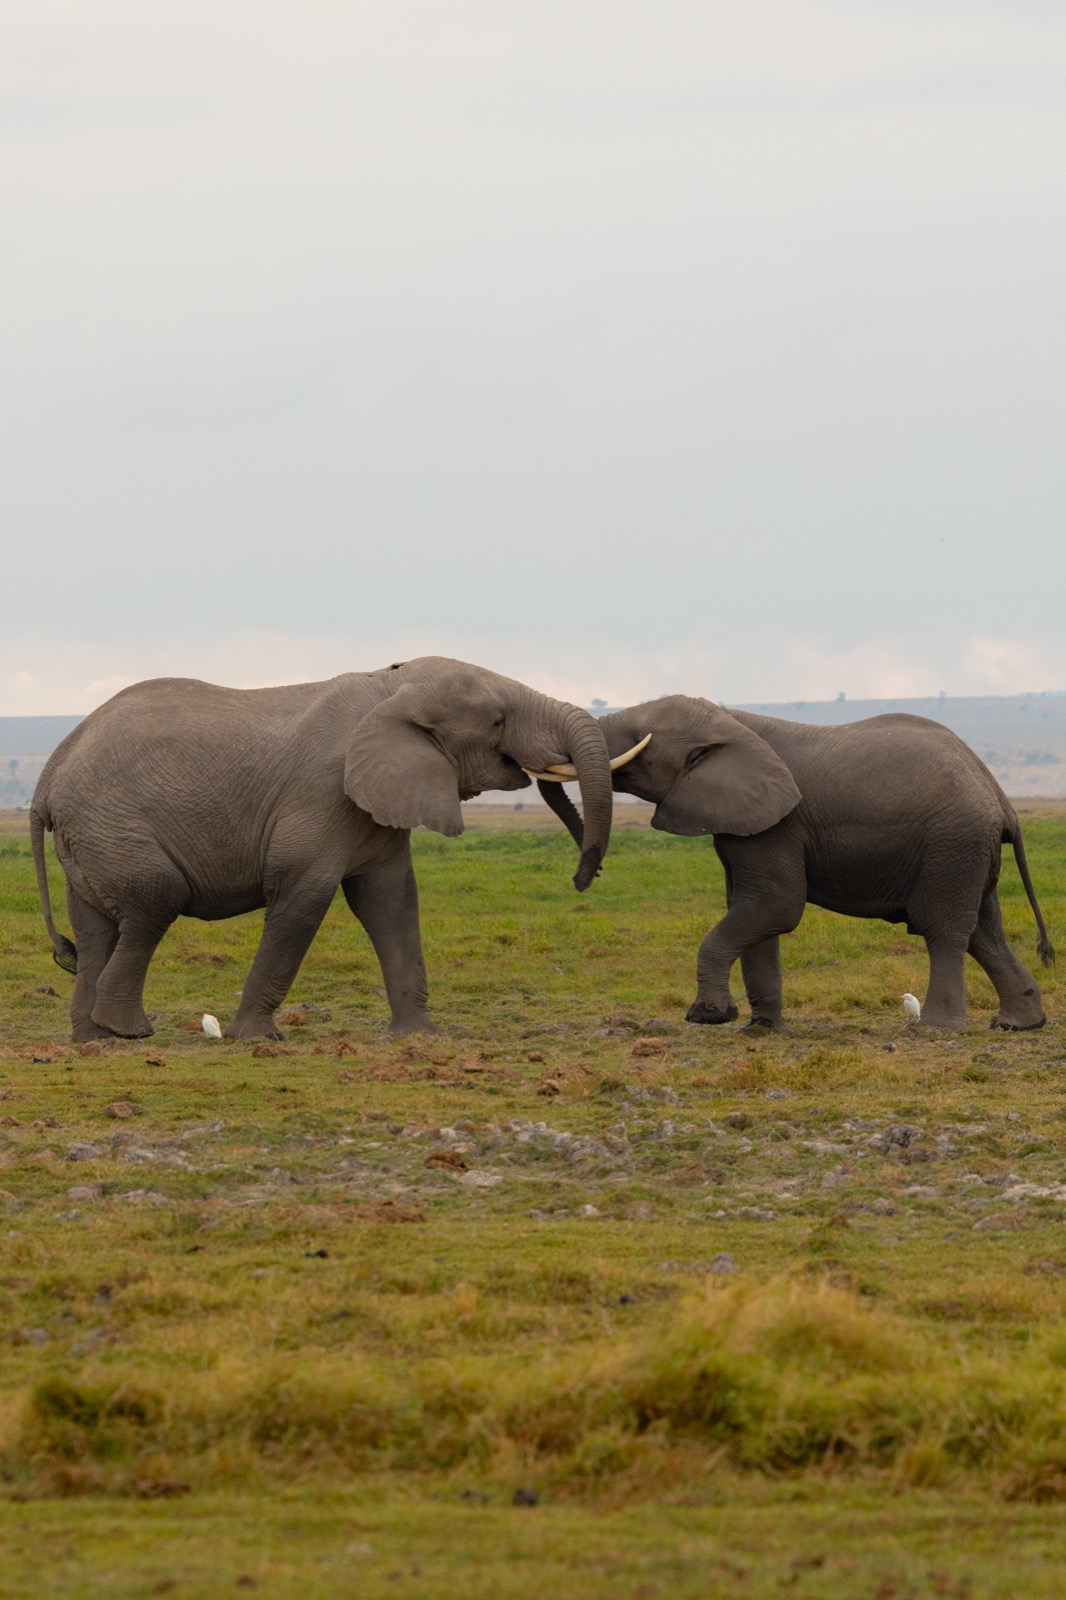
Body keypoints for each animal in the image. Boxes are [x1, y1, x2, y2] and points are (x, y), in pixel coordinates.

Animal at [31, 657, 642, 1043]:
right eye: (497, 720)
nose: (585, 877)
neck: (388, 688)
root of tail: (51, 769)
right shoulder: (321, 795)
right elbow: (303, 900)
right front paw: (257, 1039)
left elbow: (391, 902)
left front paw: (421, 1038)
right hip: (113, 823)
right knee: (153, 903)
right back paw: (129, 1032)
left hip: (90, 836)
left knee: (97, 928)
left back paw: (92, 1039)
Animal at [533, 696, 1054, 1031]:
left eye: (636, 739)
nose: (585, 877)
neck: (731, 721)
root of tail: (1001, 798)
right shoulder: (746, 821)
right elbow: (752, 910)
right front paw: (761, 1027)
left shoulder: (779, 823)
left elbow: (774, 906)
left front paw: (708, 1018)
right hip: (967, 848)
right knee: (985, 932)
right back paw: (1018, 1025)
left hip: (952, 842)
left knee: (943, 928)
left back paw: (937, 1029)